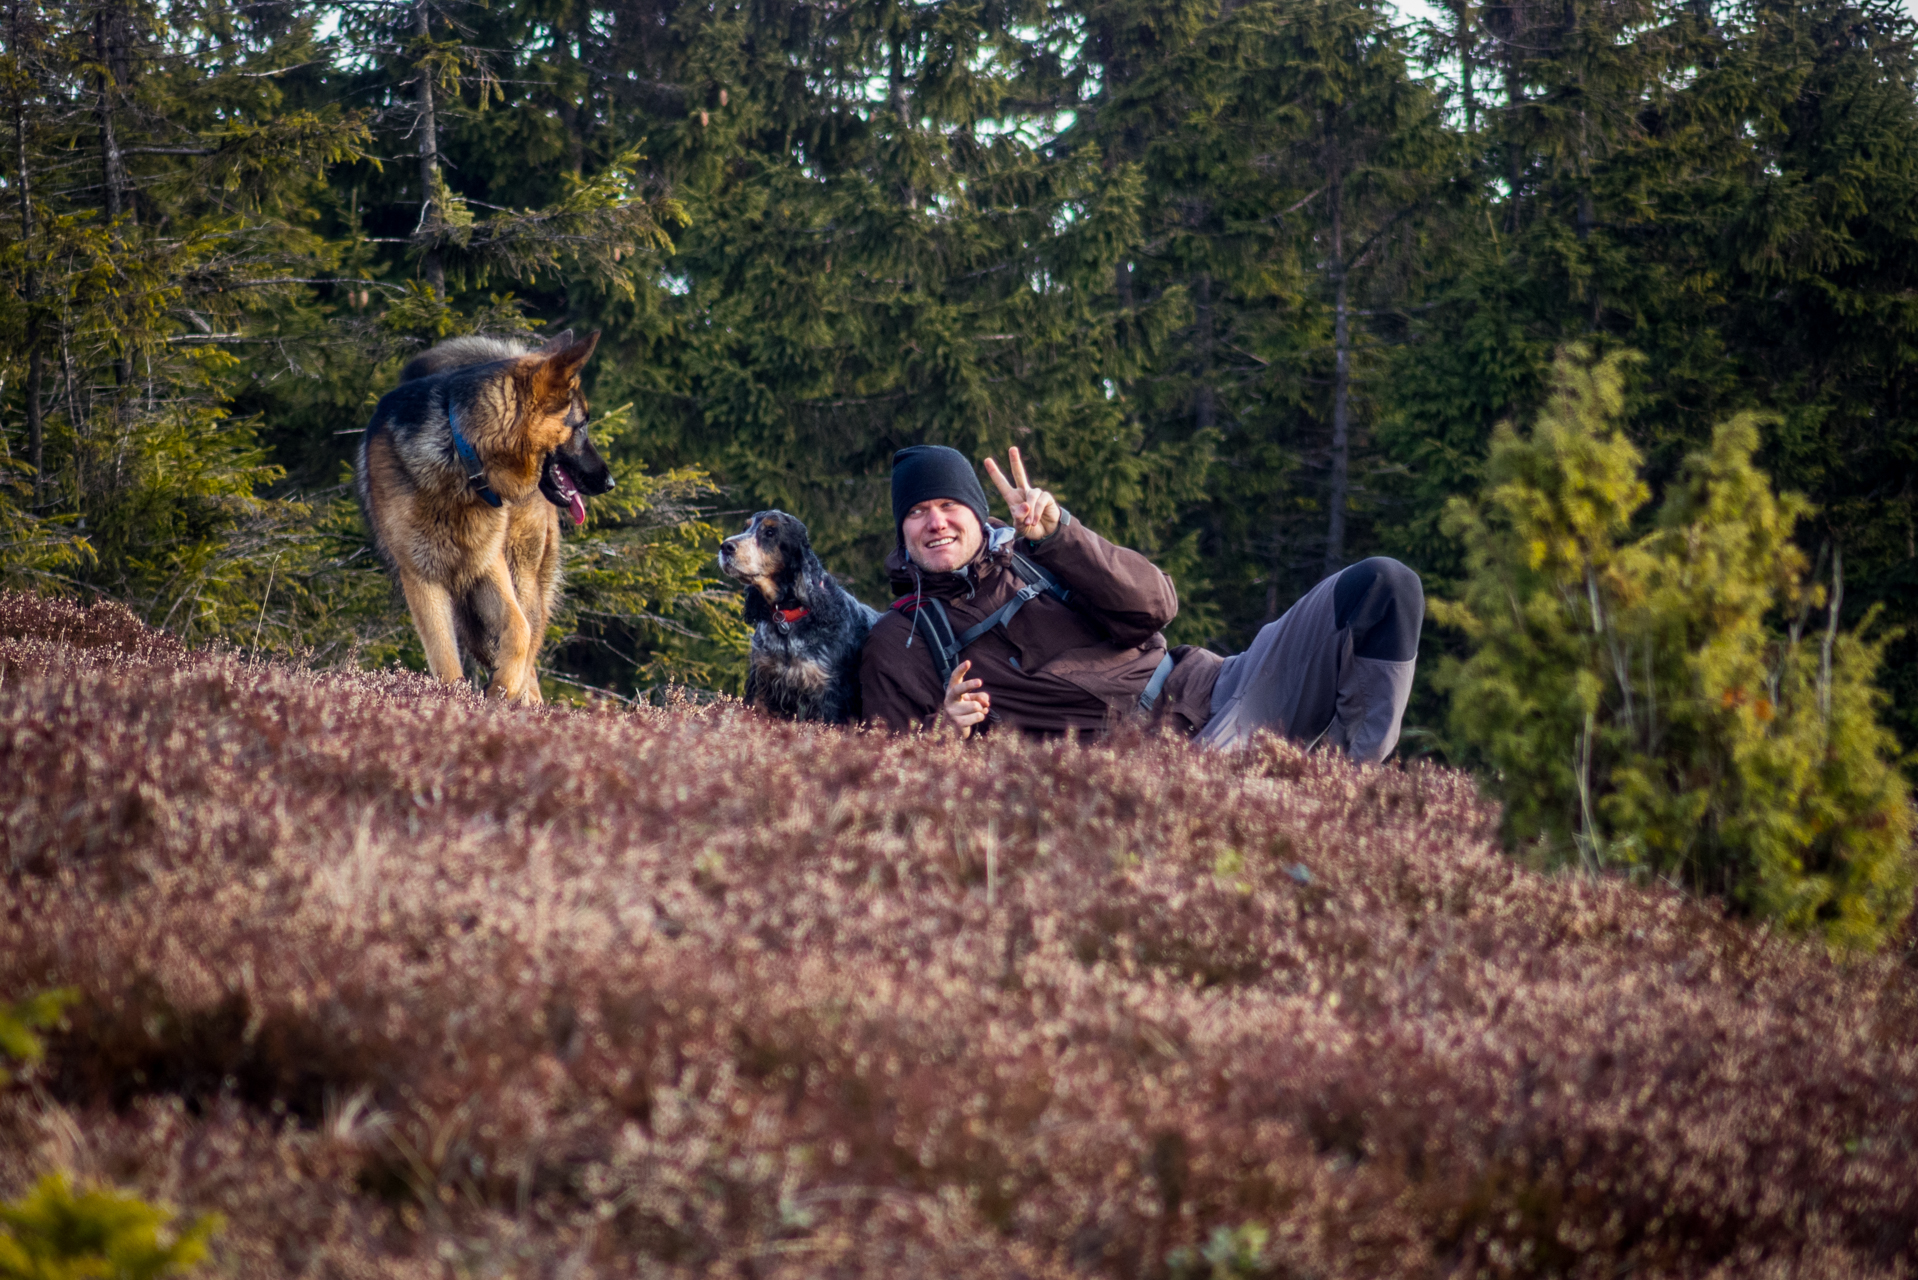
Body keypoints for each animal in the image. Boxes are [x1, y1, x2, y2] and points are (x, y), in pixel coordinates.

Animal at [350, 330, 606, 702]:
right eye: (582, 425)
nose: (610, 482)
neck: (461, 458)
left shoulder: (488, 566)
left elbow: (519, 630)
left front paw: (502, 688)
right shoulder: (422, 579)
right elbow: (445, 662)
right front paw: (454, 702)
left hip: (520, 578)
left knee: (529, 643)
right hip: (470, 619)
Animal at [721, 514, 878, 725]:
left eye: (770, 532)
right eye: (745, 528)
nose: (725, 546)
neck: (787, 617)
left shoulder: (827, 695)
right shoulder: (763, 683)